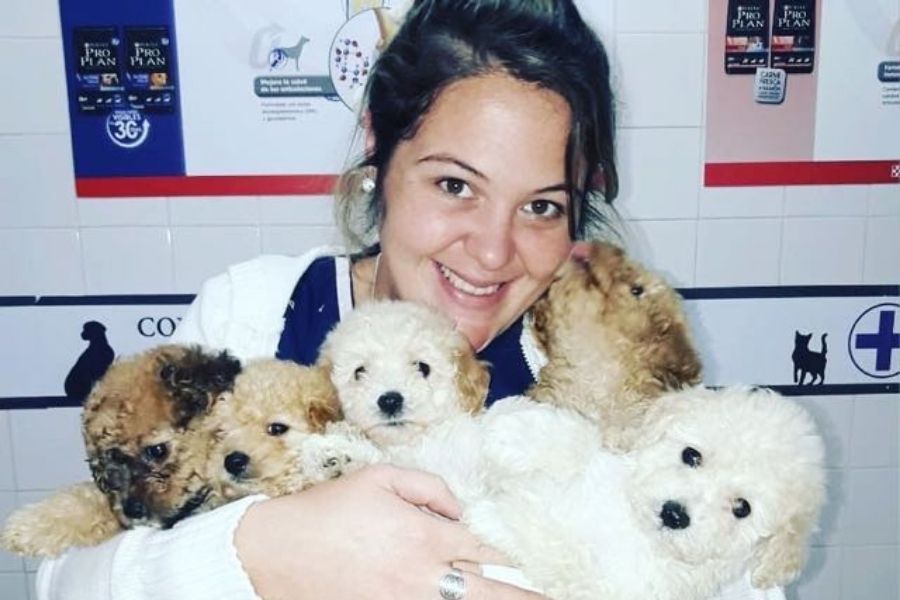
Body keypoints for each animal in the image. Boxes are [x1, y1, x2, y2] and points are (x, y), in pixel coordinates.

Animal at [408, 386, 826, 600]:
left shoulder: (612, 589)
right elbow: (584, 441)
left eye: (742, 508)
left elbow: (563, 552)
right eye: (691, 455)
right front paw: (517, 429)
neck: (635, 527)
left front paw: (501, 518)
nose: (675, 514)